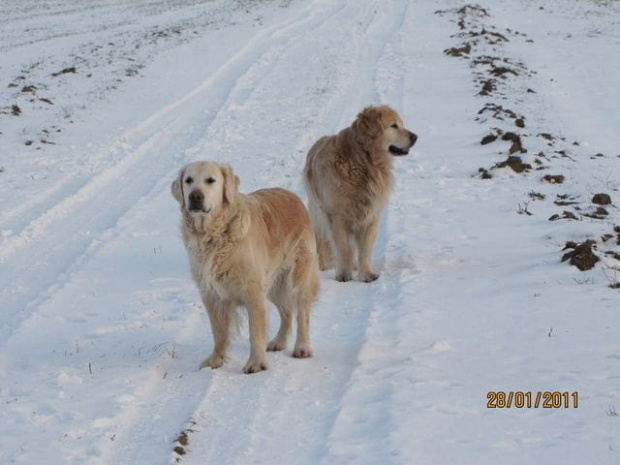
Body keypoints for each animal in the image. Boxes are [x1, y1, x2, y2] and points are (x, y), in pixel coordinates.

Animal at [173, 161, 320, 372]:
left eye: (211, 180)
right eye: (188, 180)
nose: (195, 196)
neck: (215, 234)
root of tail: (294, 197)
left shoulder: (253, 292)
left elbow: (255, 333)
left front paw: (256, 363)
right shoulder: (211, 295)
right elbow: (218, 332)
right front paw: (215, 360)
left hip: (298, 276)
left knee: (302, 312)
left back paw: (302, 348)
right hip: (275, 284)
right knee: (287, 311)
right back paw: (278, 342)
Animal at [304, 107, 416, 280]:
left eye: (401, 124)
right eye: (393, 125)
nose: (415, 137)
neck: (364, 160)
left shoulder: (370, 215)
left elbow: (365, 250)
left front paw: (367, 274)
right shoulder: (339, 217)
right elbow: (343, 249)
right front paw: (344, 276)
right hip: (318, 212)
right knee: (322, 240)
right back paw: (323, 265)